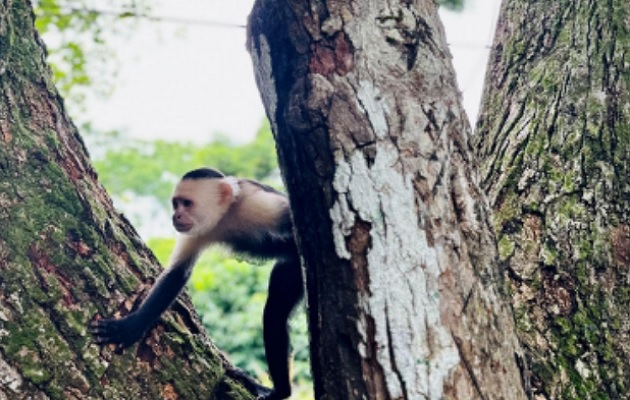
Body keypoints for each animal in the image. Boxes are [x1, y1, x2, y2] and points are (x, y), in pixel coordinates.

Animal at [90, 167, 304, 398]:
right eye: (176, 204)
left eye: (187, 203)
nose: (175, 215)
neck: (227, 214)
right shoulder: (196, 230)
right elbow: (176, 275)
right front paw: (134, 325)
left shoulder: (261, 205)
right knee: (275, 313)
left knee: (275, 310)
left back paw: (280, 391)